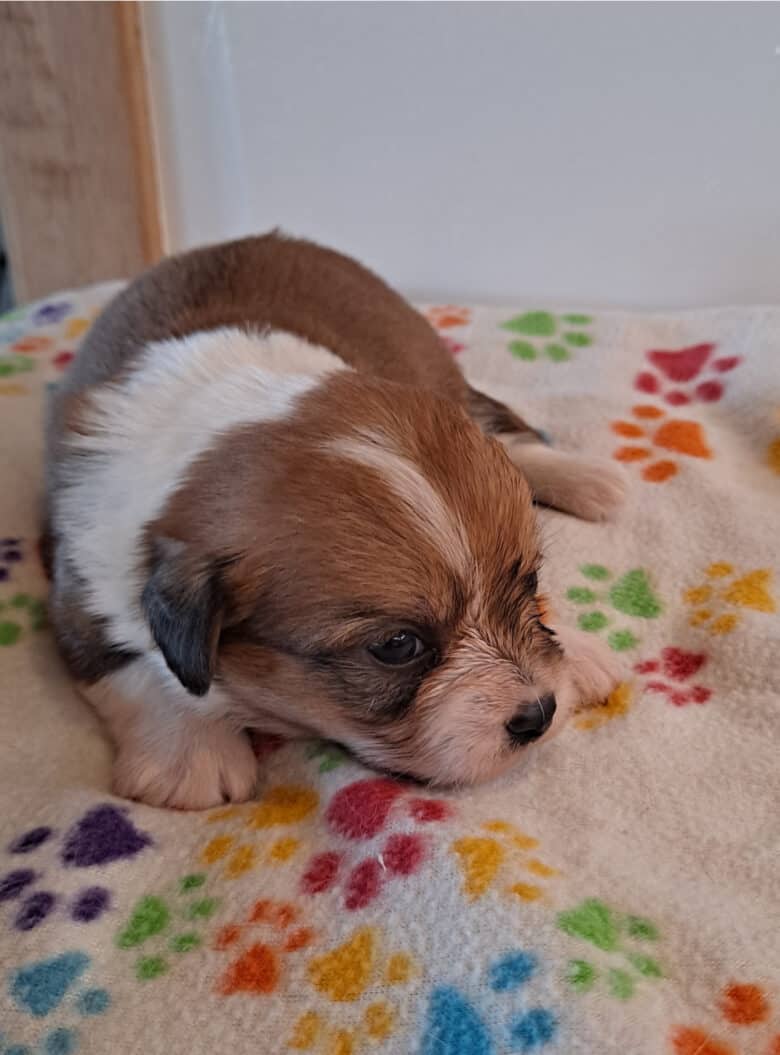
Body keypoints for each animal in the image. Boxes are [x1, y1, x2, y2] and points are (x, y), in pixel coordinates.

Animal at [44, 231, 629, 806]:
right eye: (396, 647)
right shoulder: (80, 581)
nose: (540, 713)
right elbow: (127, 664)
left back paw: (589, 477)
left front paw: (577, 652)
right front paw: (191, 754)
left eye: (529, 582)